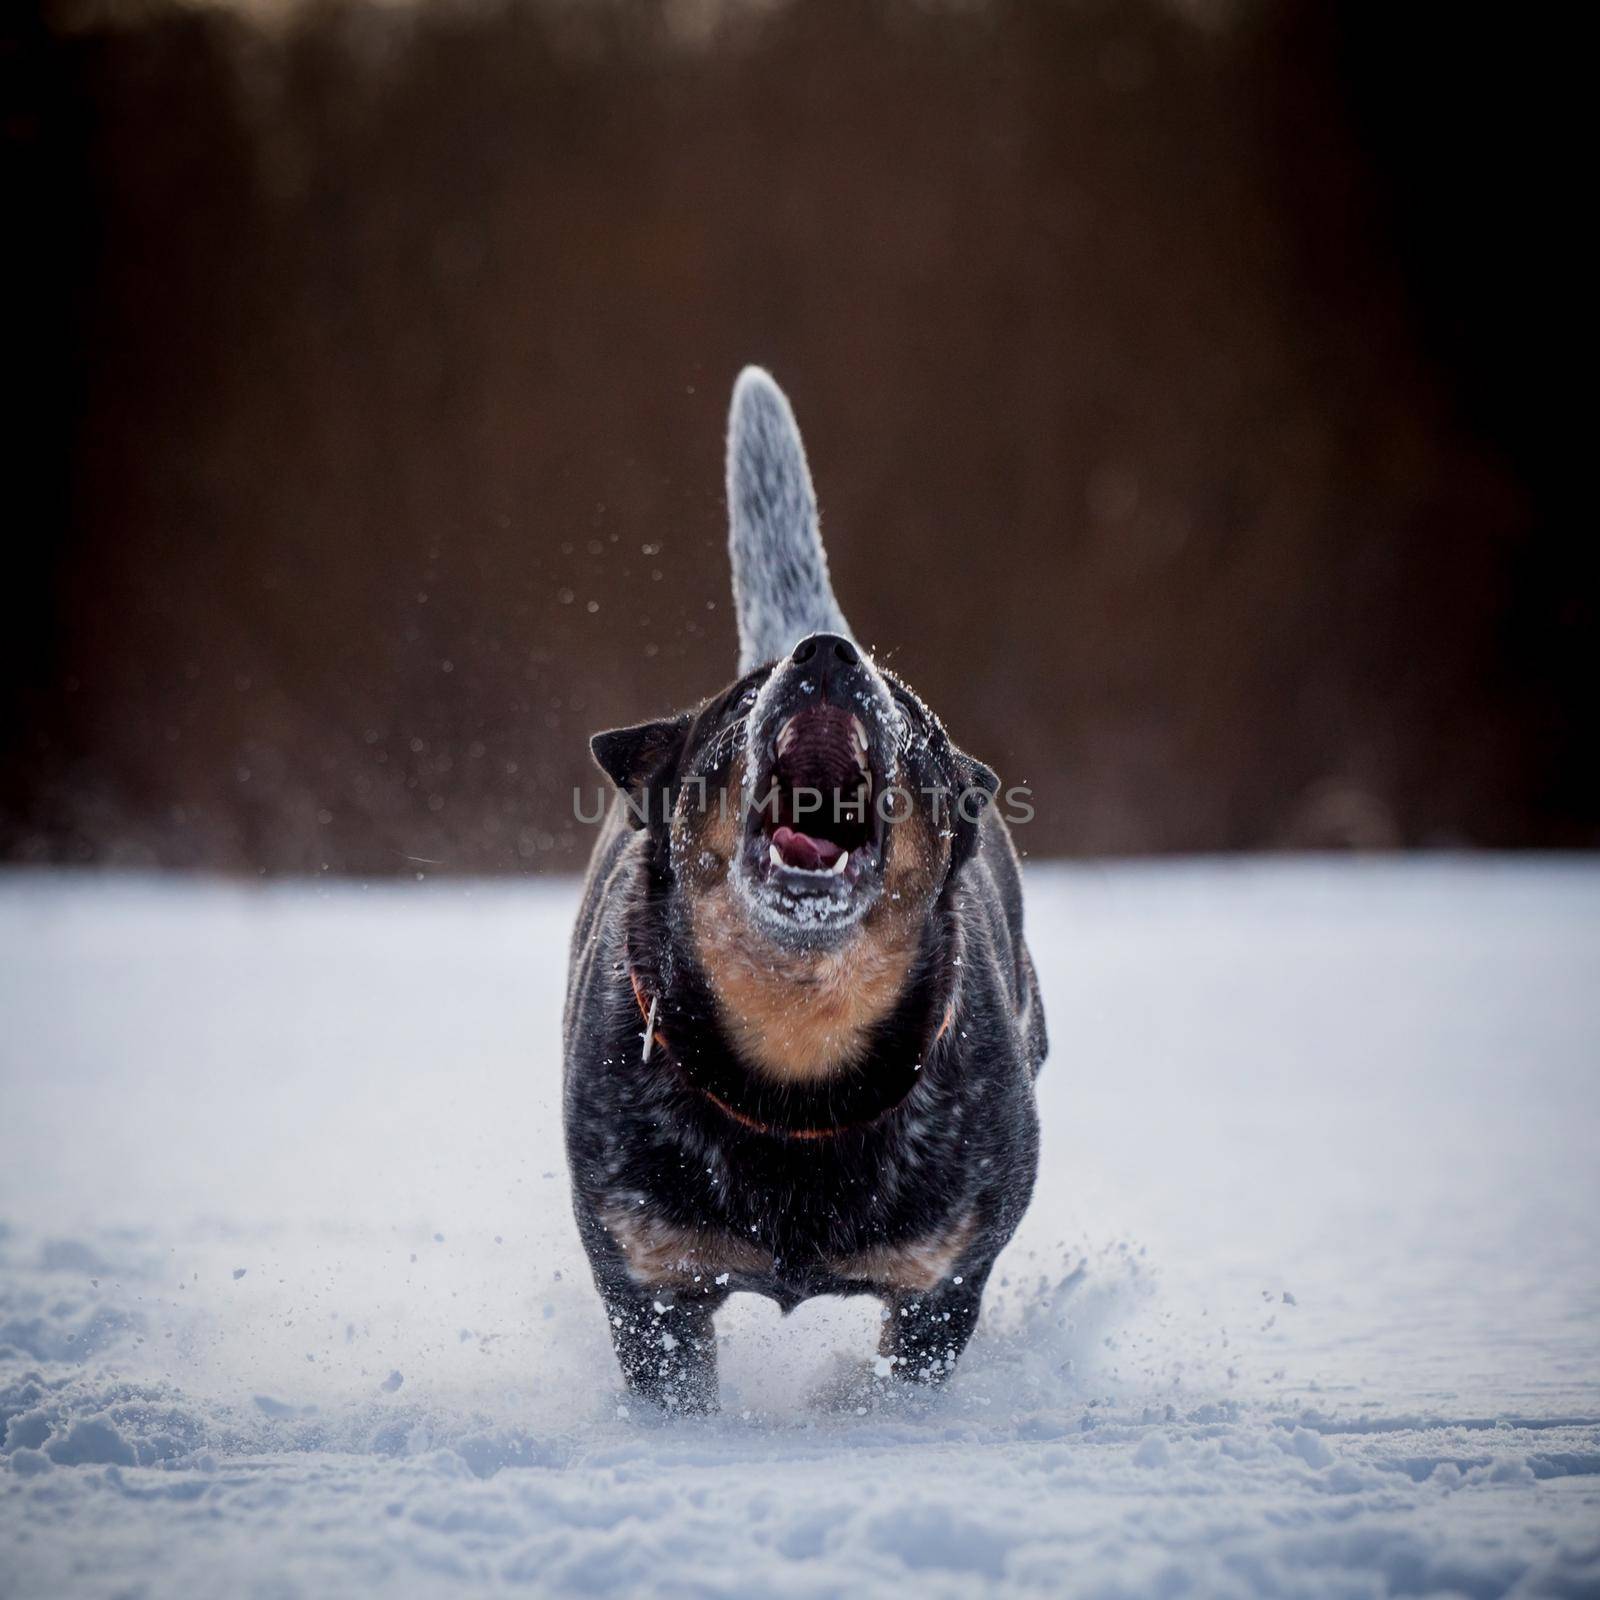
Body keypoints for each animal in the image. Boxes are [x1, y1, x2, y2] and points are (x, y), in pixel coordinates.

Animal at [566, 366, 1049, 1414]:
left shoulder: (945, 1284)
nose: (826, 652)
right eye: (740, 705)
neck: (797, 1055)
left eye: (908, 712)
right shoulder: (649, 1286)